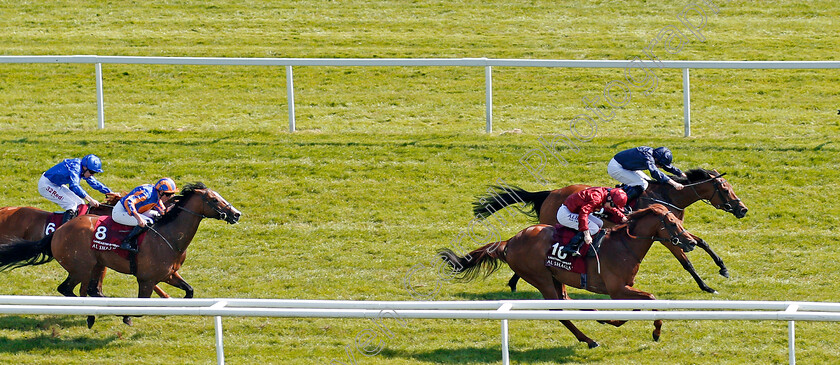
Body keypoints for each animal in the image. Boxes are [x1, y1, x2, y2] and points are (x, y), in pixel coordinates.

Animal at [0, 183, 240, 326]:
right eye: (214, 199)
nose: (236, 214)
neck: (168, 235)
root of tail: (58, 232)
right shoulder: (146, 279)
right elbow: (139, 307)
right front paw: (126, 315)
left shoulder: (169, 274)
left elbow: (189, 291)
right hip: (82, 267)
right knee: (70, 289)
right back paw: (92, 314)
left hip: (93, 264)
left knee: (83, 290)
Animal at [436, 203, 700, 348]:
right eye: (672, 224)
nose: (691, 242)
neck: (625, 245)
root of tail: (509, 242)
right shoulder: (617, 289)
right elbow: (652, 298)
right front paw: (655, 331)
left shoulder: (625, 288)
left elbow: (634, 308)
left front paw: (615, 320)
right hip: (541, 278)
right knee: (559, 310)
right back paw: (589, 339)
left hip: (557, 277)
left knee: (567, 300)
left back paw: (598, 318)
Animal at [472, 168, 748, 292]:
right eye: (725, 189)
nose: (742, 209)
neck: (668, 195)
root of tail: (549, 193)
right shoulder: (666, 237)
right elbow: (686, 261)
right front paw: (706, 286)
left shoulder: (675, 232)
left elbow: (701, 242)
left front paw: (723, 268)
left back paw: (516, 280)